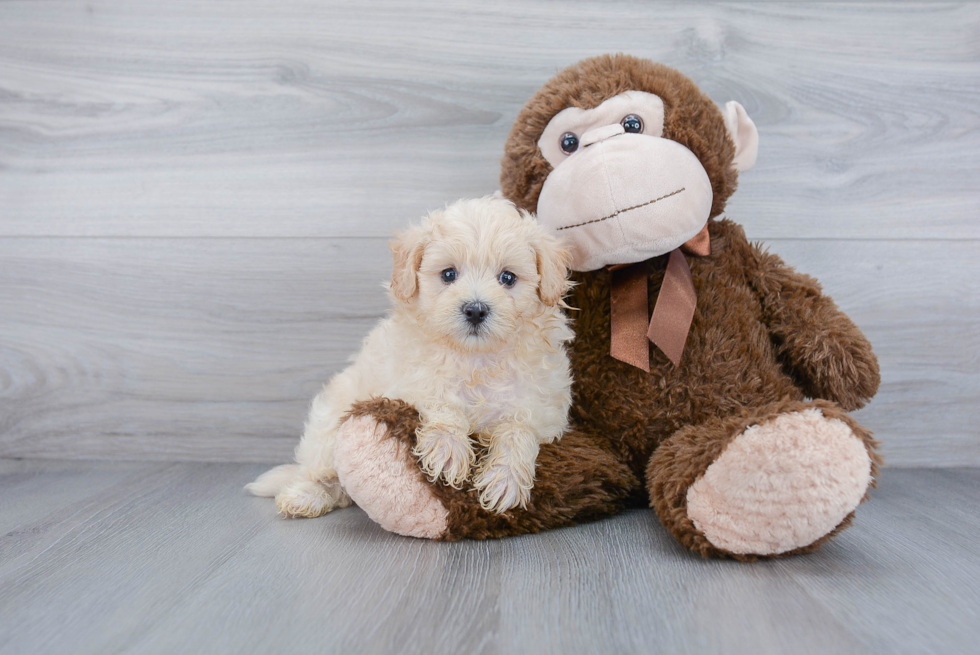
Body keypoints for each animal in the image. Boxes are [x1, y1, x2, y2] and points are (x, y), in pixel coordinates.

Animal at [247, 197, 576, 516]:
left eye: (508, 278)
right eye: (448, 274)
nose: (475, 309)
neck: (475, 358)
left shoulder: (543, 406)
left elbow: (519, 429)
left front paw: (505, 478)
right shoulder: (408, 379)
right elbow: (441, 402)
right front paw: (447, 448)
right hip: (328, 426)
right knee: (325, 474)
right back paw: (306, 496)